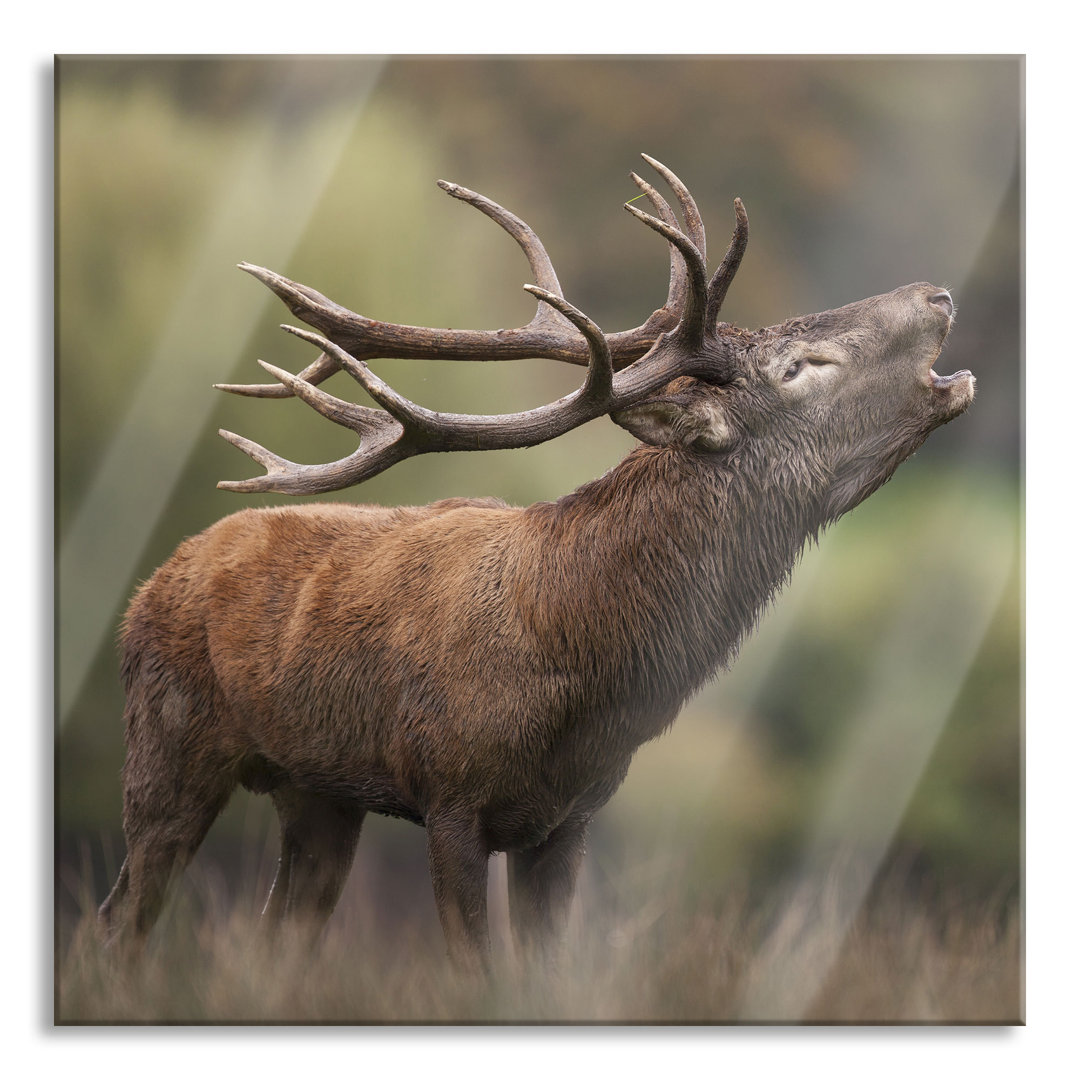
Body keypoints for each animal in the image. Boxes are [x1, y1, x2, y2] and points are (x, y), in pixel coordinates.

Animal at [99, 154, 980, 972]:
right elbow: (474, 975)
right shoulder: (450, 796)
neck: (583, 669)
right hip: (167, 746)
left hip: (315, 793)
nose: (937, 296)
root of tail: (150, 585)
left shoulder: (570, 818)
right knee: (122, 917)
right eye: (802, 367)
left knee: (275, 935)